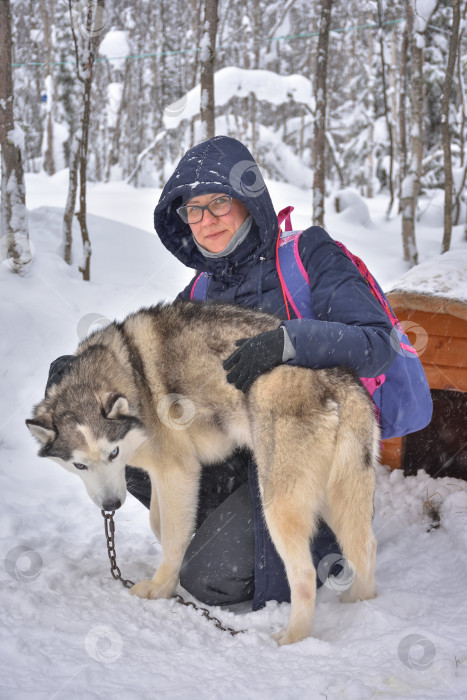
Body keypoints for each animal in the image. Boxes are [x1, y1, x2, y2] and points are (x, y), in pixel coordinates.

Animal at [25, 300, 378, 644]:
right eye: (79, 465)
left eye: (112, 453)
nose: (111, 505)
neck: (129, 377)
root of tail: (338, 382)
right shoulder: (163, 475)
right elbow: (159, 523)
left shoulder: (177, 470)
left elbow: (171, 535)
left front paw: (161, 587)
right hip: (338, 498)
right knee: (364, 547)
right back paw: (358, 601)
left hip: (278, 504)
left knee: (304, 574)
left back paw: (292, 636)